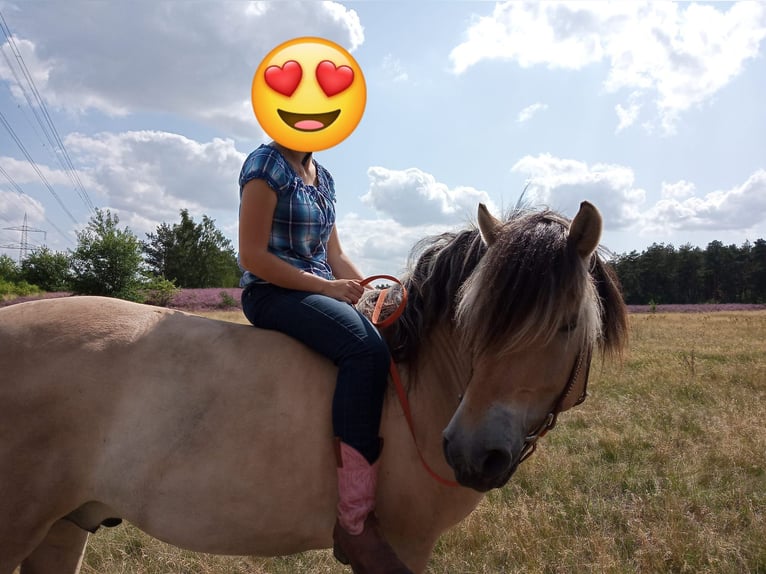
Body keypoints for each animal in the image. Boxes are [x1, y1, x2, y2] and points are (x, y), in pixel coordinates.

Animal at [0, 201, 628, 574]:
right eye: (472, 318)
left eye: (566, 324)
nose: (473, 453)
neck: (420, 385)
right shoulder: (405, 545)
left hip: (62, 528)